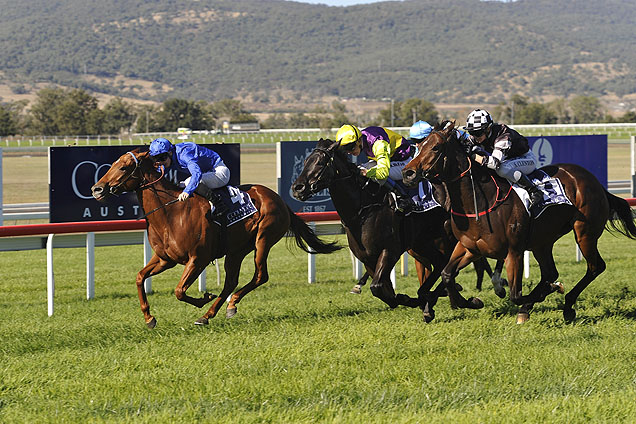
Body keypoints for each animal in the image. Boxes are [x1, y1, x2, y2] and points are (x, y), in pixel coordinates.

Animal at [91, 149, 340, 328]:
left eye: (124, 166)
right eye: (112, 164)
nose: (97, 189)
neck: (170, 212)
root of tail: (278, 198)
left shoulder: (197, 259)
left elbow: (179, 291)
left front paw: (203, 298)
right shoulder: (164, 259)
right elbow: (140, 277)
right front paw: (149, 318)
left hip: (263, 239)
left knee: (260, 275)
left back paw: (226, 305)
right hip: (236, 250)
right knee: (231, 281)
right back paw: (211, 313)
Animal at [290, 139, 504, 322]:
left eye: (320, 163)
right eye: (306, 161)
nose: (297, 188)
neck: (363, 209)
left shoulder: (390, 251)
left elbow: (377, 288)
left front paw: (411, 299)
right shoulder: (368, 259)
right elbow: (385, 292)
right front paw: (411, 300)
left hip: (447, 240)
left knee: (447, 267)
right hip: (423, 244)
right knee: (440, 266)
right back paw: (441, 300)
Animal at [402, 121, 636, 322]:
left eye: (436, 148)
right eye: (418, 146)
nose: (408, 173)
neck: (481, 201)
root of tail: (594, 181)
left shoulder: (513, 252)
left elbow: (515, 294)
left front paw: (550, 290)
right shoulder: (469, 247)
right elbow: (447, 275)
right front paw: (468, 302)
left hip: (584, 232)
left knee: (595, 267)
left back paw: (566, 305)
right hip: (543, 241)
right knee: (551, 272)